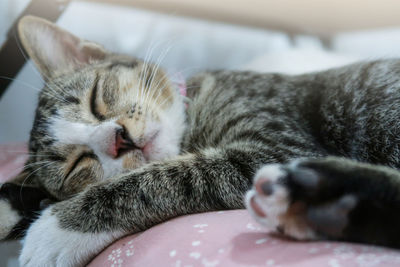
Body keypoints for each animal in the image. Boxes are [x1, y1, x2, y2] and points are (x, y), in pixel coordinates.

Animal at [0, 15, 400, 266]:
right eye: (77, 164)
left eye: (96, 99)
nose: (118, 139)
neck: (190, 120)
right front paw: (17, 204)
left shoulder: (276, 146)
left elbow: (168, 177)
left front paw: (56, 229)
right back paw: (319, 201)